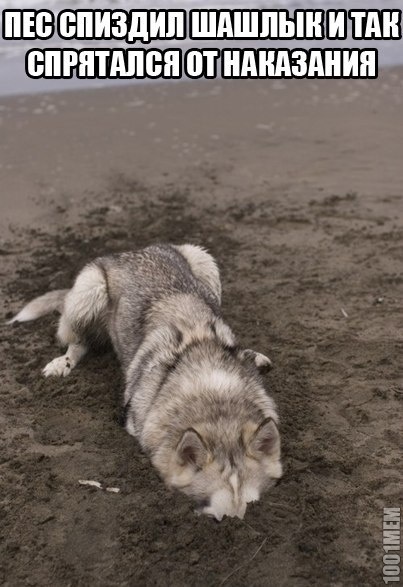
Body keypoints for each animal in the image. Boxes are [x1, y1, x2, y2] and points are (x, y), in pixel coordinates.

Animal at [10, 246, 280, 520]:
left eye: (252, 508)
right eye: (216, 517)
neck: (213, 396)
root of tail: (134, 250)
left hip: (203, 262)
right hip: (88, 293)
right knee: (79, 342)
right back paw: (62, 363)